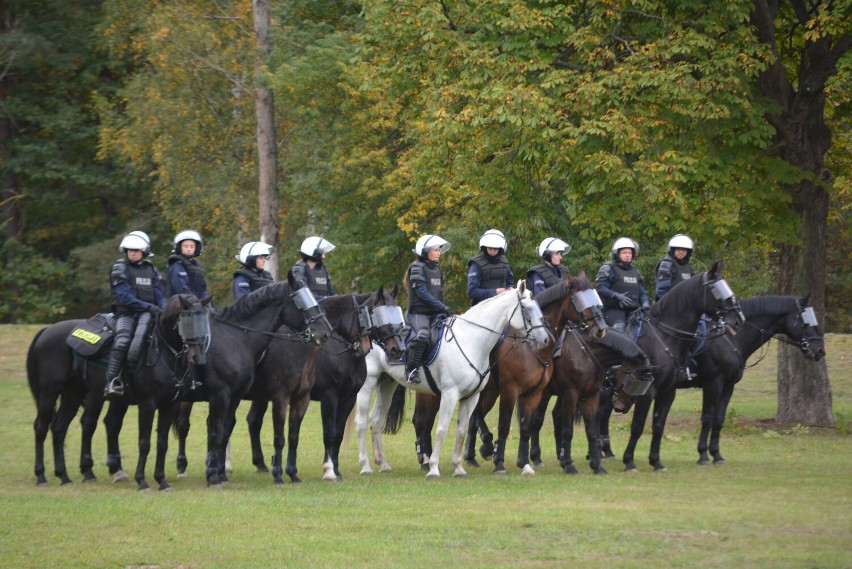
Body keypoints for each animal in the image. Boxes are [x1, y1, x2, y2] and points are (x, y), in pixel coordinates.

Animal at [27, 292, 213, 488]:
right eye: (187, 320)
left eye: (205, 319)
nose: (198, 356)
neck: (163, 351)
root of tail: (46, 330)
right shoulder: (147, 404)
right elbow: (144, 442)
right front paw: (142, 481)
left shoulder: (170, 404)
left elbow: (162, 443)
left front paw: (161, 481)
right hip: (52, 392)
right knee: (43, 427)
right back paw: (42, 476)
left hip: (73, 394)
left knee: (59, 427)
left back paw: (64, 476)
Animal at [356, 282, 548, 478]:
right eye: (526, 308)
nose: (545, 339)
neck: (471, 340)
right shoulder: (450, 394)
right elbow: (442, 429)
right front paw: (434, 468)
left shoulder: (472, 397)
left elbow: (462, 431)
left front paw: (459, 468)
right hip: (368, 385)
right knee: (362, 422)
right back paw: (366, 466)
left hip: (387, 384)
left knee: (376, 421)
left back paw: (383, 463)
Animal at [688, 296, 828, 464]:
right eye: (805, 321)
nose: (820, 350)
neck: (729, 338)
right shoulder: (713, 385)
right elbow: (707, 418)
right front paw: (703, 455)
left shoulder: (727, 387)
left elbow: (718, 419)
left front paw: (716, 455)